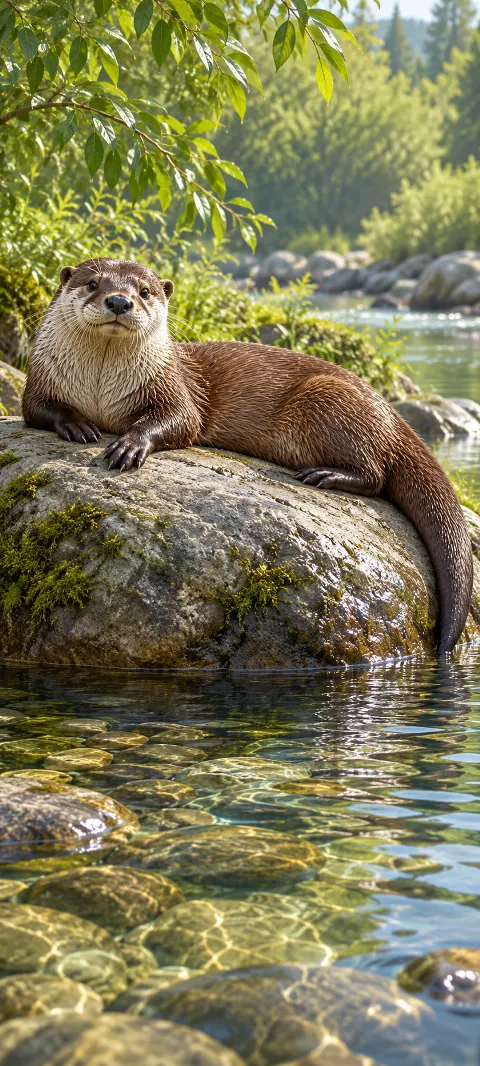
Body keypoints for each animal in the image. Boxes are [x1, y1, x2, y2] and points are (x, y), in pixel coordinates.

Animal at [23, 257, 473, 655]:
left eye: (145, 291)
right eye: (93, 283)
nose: (119, 301)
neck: (100, 389)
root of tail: (391, 413)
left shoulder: (173, 386)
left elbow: (181, 420)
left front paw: (130, 444)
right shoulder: (40, 378)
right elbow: (37, 409)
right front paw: (77, 425)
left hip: (328, 398)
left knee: (377, 474)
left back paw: (326, 475)